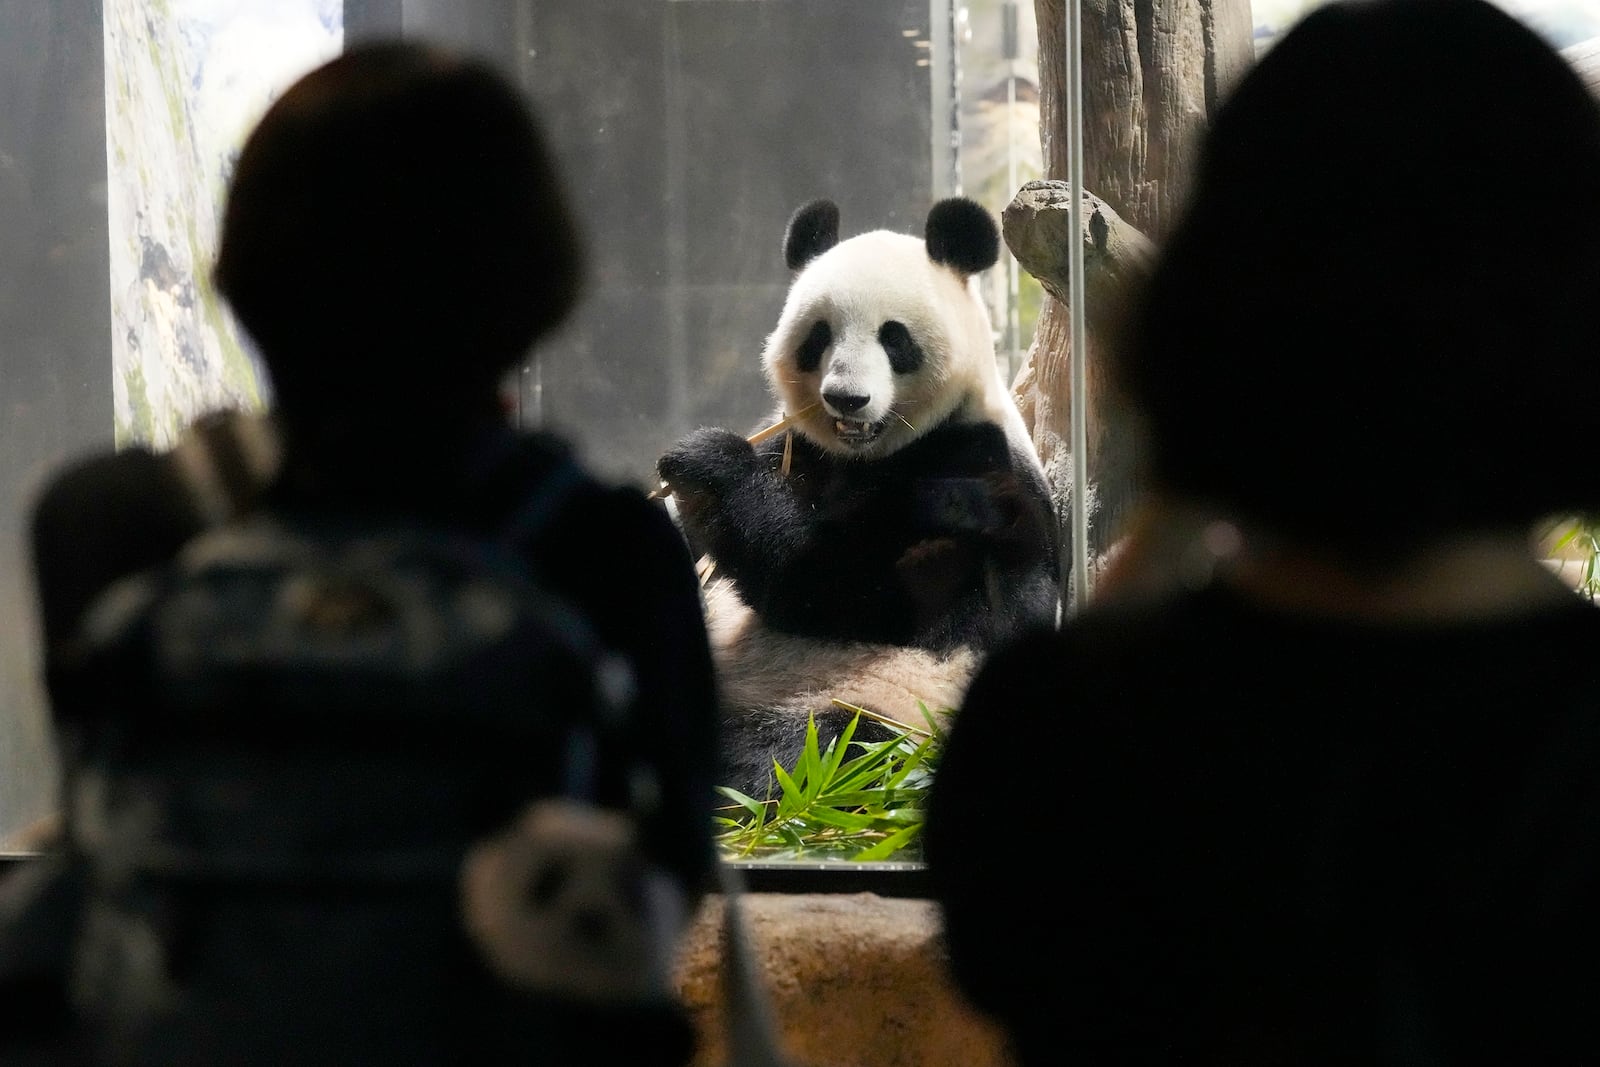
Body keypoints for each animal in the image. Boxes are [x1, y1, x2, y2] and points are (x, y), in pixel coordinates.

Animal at [656, 195, 1056, 796]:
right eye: (819, 336)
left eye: (894, 338)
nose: (847, 399)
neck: (867, 454)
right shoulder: (795, 445)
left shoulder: (971, 473)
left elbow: (839, 586)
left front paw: (708, 467)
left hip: (892, 713)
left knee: (808, 754)